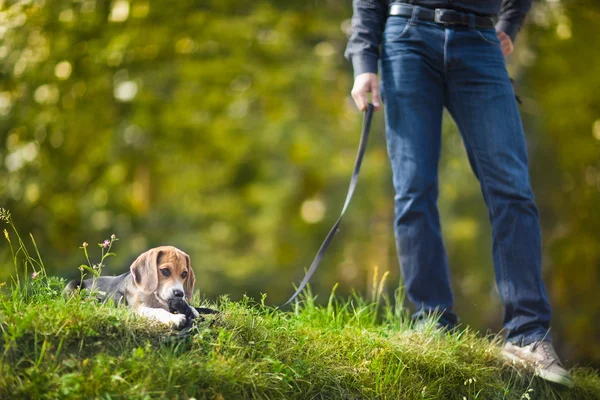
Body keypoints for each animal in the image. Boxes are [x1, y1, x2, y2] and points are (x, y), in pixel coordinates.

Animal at [65, 247, 199, 328]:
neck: (153, 297)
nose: (179, 294)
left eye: (184, 274)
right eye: (165, 271)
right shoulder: (136, 309)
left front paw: (192, 309)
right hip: (72, 285)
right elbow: (157, 310)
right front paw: (174, 318)